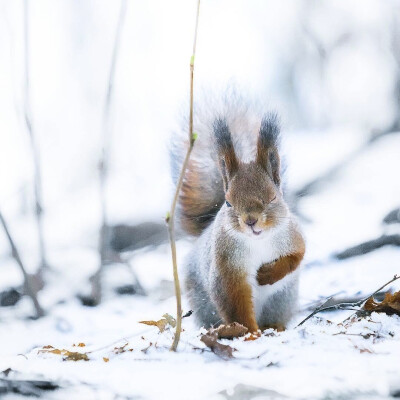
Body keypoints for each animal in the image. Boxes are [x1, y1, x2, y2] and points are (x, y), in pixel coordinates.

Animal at [170, 94, 304, 332]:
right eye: (228, 202)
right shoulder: (227, 268)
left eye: (273, 198)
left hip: (281, 300)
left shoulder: (293, 235)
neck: (259, 242)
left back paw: (275, 327)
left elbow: (296, 257)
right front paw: (249, 333)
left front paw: (267, 274)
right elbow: (235, 302)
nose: (251, 220)